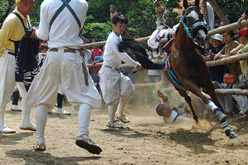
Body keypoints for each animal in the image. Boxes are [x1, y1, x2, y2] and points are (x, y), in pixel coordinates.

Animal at [165, 0, 236, 139]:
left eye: (202, 15)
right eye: (188, 18)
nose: (202, 37)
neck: (187, 54)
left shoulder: (207, 81)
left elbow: (214, 98)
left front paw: (227, 128)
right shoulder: (189, 83)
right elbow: (205, 97)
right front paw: (219, 116)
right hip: (179, 88)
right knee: (188, 99)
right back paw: (196, 120)